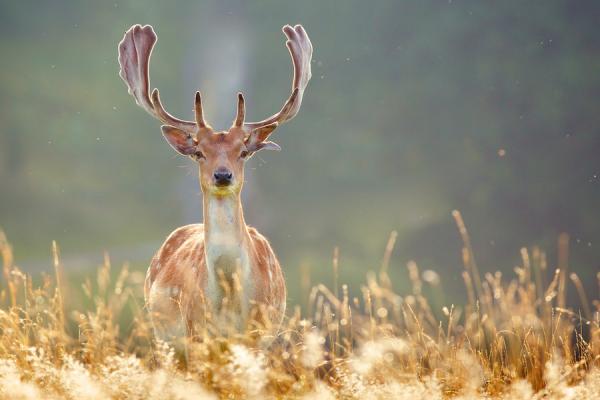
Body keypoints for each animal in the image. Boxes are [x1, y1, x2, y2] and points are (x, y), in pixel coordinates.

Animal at [118, 23, 314, 340]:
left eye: (243, 152)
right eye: (199, 152)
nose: (222, 175)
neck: (229, 297)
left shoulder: (261, 333)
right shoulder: (196, 330)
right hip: (162, 333)